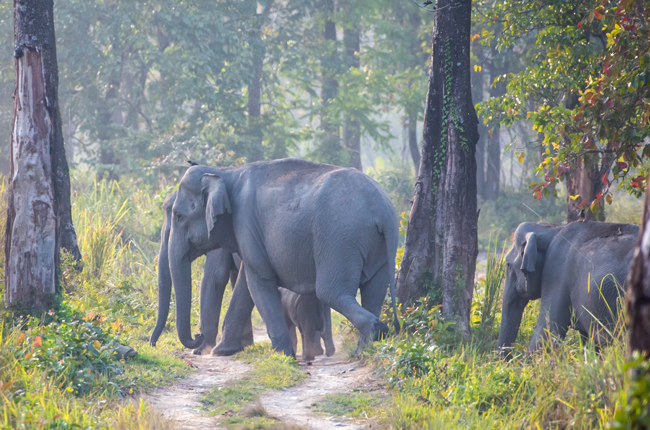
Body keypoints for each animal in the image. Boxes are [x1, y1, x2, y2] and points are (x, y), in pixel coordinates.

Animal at [166, 158, 400, 356]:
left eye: (178, 216)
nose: (197, 336)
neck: (225, 172)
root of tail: (383, 210)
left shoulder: (245, 223)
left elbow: (257, 280)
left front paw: (282, 355)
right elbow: (247, 283)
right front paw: (222, 351)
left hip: (339, 238)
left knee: (330, 291)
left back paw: (374, 334)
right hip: (377, 246)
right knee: (373, 292)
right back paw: (364, 349)